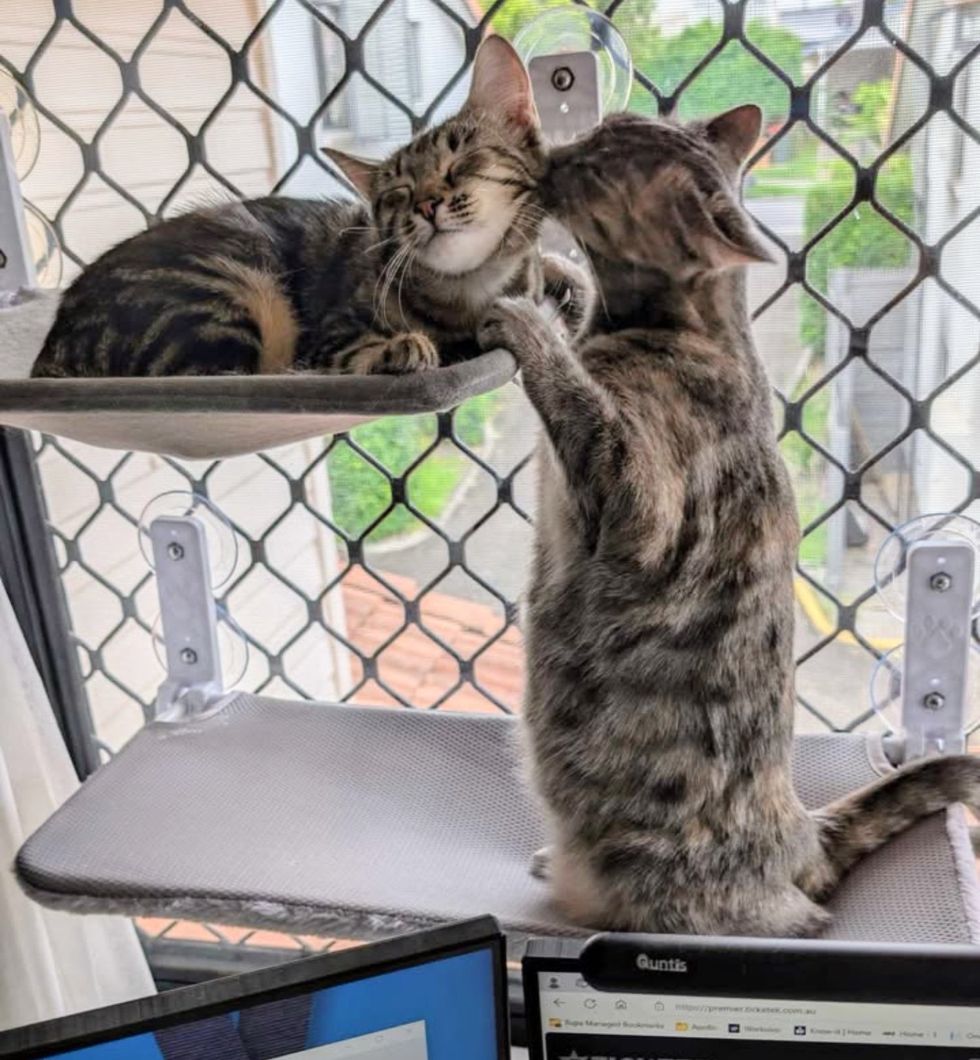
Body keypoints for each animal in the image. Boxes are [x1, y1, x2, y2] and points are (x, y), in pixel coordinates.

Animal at [32, 39, 589, 383]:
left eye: (461, 161)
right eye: (398, 193)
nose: (427, 203)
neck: (469, 291)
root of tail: (52, 343)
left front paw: (563, 282)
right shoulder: (327, 335)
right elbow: (349, 349)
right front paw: (398, 348)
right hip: (219, 288)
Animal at [478, 105, 978, 937]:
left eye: (600, 170)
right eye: (604, 127)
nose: (554, 152)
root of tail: (803, 835)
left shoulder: (640, 501)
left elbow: (575, 397)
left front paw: (532, 326)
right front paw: (561, 282)